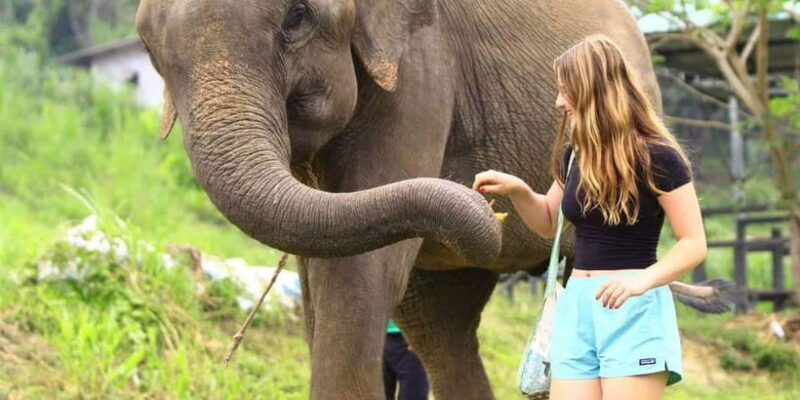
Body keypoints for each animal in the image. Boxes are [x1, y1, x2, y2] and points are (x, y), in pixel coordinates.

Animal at [135, 0, 730, 398]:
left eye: (298, 15)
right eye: (146, 44)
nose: (484, 203)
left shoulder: (422, 69)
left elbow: (358, 275)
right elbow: (326, 274)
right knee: (439, 325)